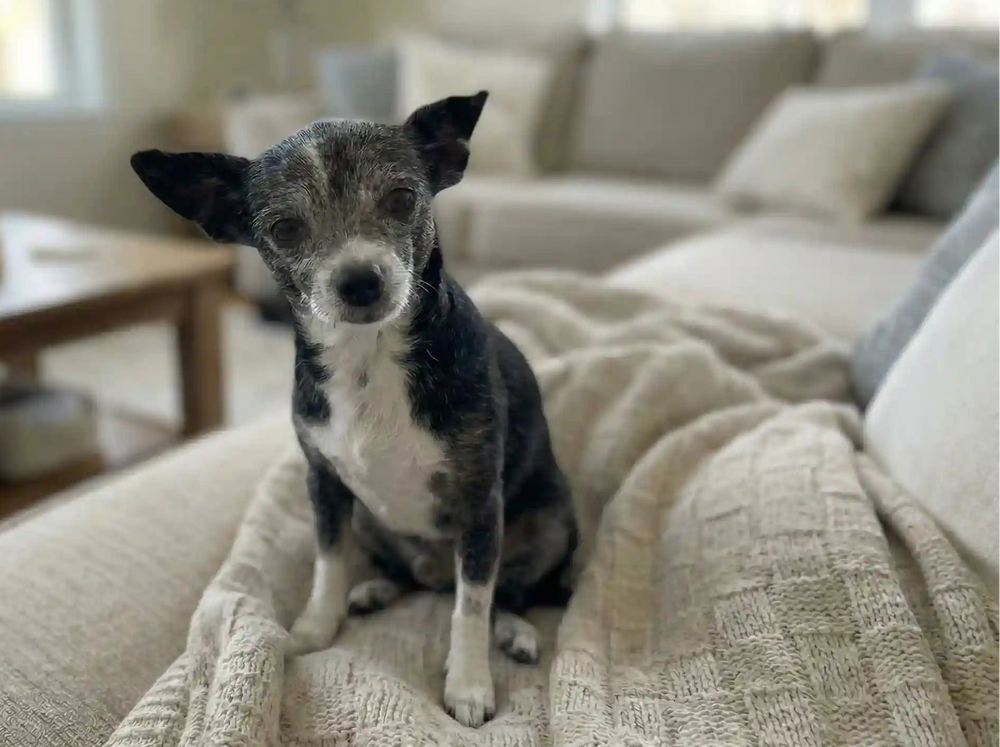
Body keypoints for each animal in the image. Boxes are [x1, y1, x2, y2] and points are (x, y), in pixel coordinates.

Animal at [130, 91, 576, 728]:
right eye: (285, 228)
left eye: (403, 199)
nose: (360, 279)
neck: (369, 359)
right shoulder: (326, 484)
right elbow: (328, 563)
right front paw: (318, 625)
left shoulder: (478, 504)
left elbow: (471, 606)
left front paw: (468, 683)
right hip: (371, 516)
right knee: (418, 578)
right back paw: (374, 592)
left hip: (549, 524)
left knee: (502, 592)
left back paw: (514, 631)